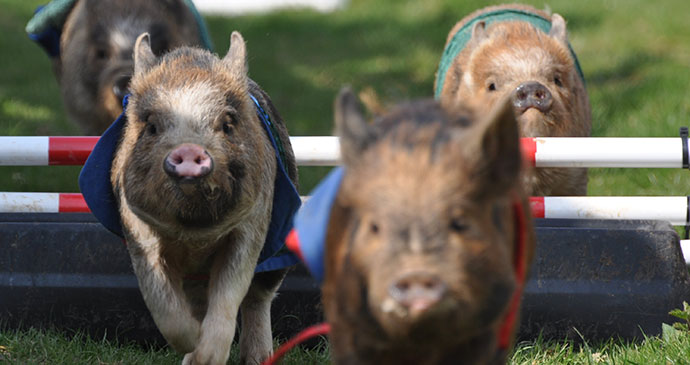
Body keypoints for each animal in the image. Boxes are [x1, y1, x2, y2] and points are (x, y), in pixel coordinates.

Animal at [80, 32, 296, 364]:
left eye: (227, 124)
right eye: (152, 126)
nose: (189, 149)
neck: (195, 233)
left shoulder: (253, 222)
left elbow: (231, 291)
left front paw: (208, 356)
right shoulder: (138, 228)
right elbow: (161, 300)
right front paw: (193, 343)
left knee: (259, 296)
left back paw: (258, 358)